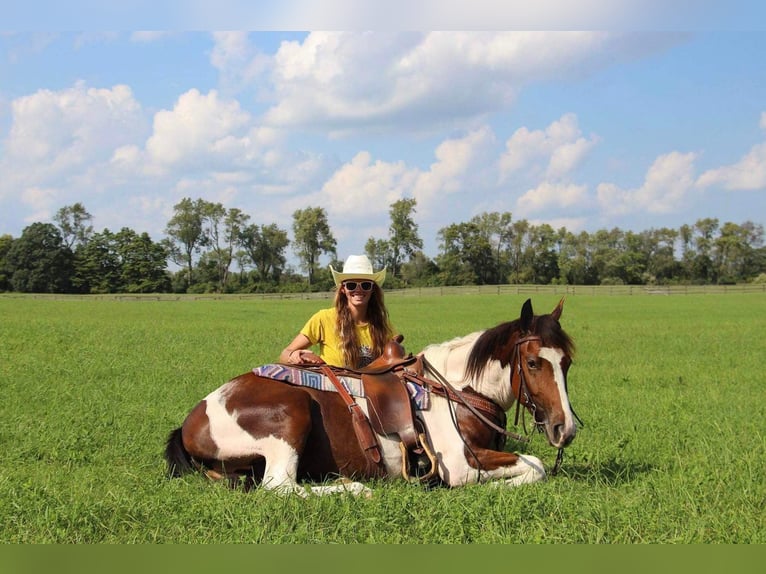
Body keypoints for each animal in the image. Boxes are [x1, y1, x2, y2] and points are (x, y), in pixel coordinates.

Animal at [165, 300, 580, 498]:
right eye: (533, 362)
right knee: (279, 487)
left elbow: (534, 465)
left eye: (568, 362)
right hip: (290, 415)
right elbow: (535, 466)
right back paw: (356, 489)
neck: (459, 391)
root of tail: (191, 420)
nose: (566, 429)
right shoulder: (460, 464)